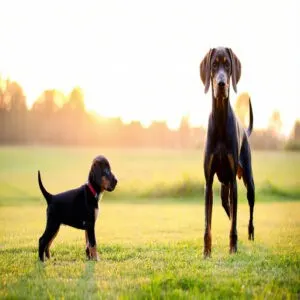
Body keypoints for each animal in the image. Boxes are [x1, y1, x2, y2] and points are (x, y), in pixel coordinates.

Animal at [200, 47, 254, 258]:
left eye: (228, 65)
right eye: (214, 65)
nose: (221, 84)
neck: (221, 120)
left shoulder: (233, 180)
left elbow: (234, 223)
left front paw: (233, 248)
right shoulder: (208, 182)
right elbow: (207, 223)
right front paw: (206, 252)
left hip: (247, 181)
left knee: (248, 209)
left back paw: (250, 234)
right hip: (224, 191)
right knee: (230, 210)